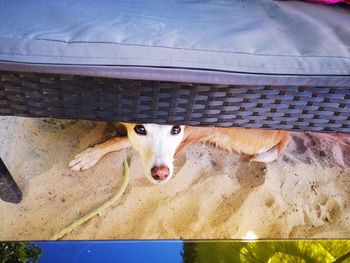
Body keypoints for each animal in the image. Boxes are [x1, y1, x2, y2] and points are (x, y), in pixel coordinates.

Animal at [69, 123, 290, 184]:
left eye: (176, 129)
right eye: (140, 129)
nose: (161, 174)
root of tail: (286, 133)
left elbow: (117, 141)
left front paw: (90, 156)